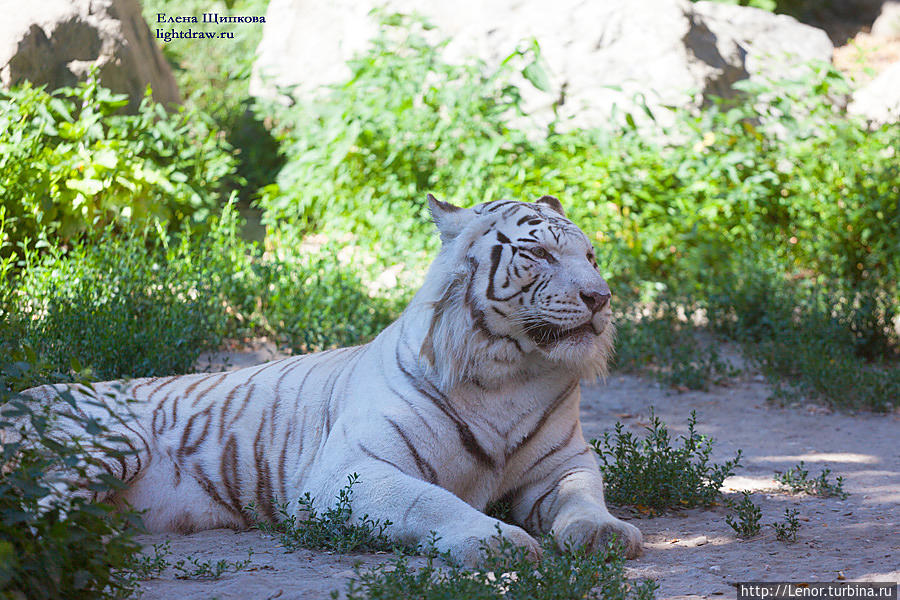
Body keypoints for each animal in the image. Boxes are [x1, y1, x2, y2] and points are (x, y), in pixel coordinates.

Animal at [17, 195, 644, 564]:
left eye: (590, 255)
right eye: (539, 254)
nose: (601, 297)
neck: (510, 374)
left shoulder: (562, 464)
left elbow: (583, 496)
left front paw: (606, 533)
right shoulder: (348, 471)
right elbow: (431, 500)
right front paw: (499, 541)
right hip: (105, 444)